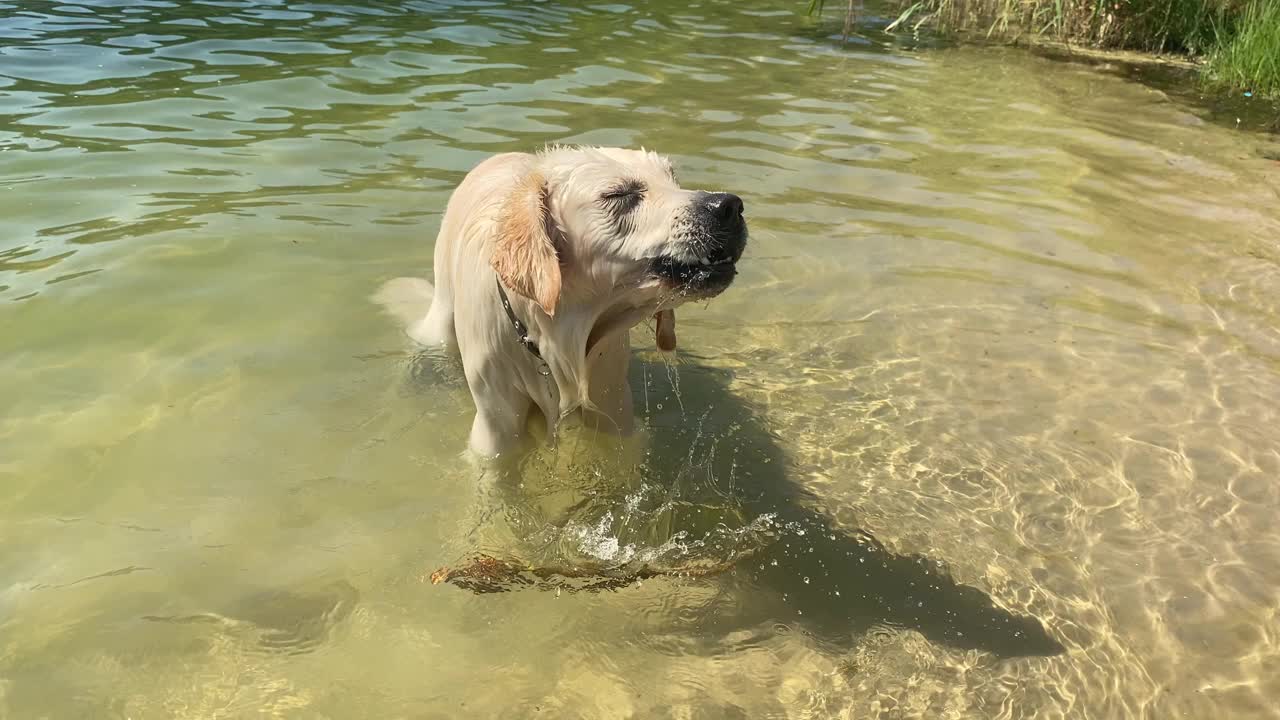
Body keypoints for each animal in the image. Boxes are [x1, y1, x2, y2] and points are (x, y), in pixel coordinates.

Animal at [373, 147, 747, 453]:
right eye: (620, 194)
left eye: (673, 179)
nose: (729, 207)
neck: (552, 332)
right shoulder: (496, 424)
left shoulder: (612, 402)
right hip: (439, 319)